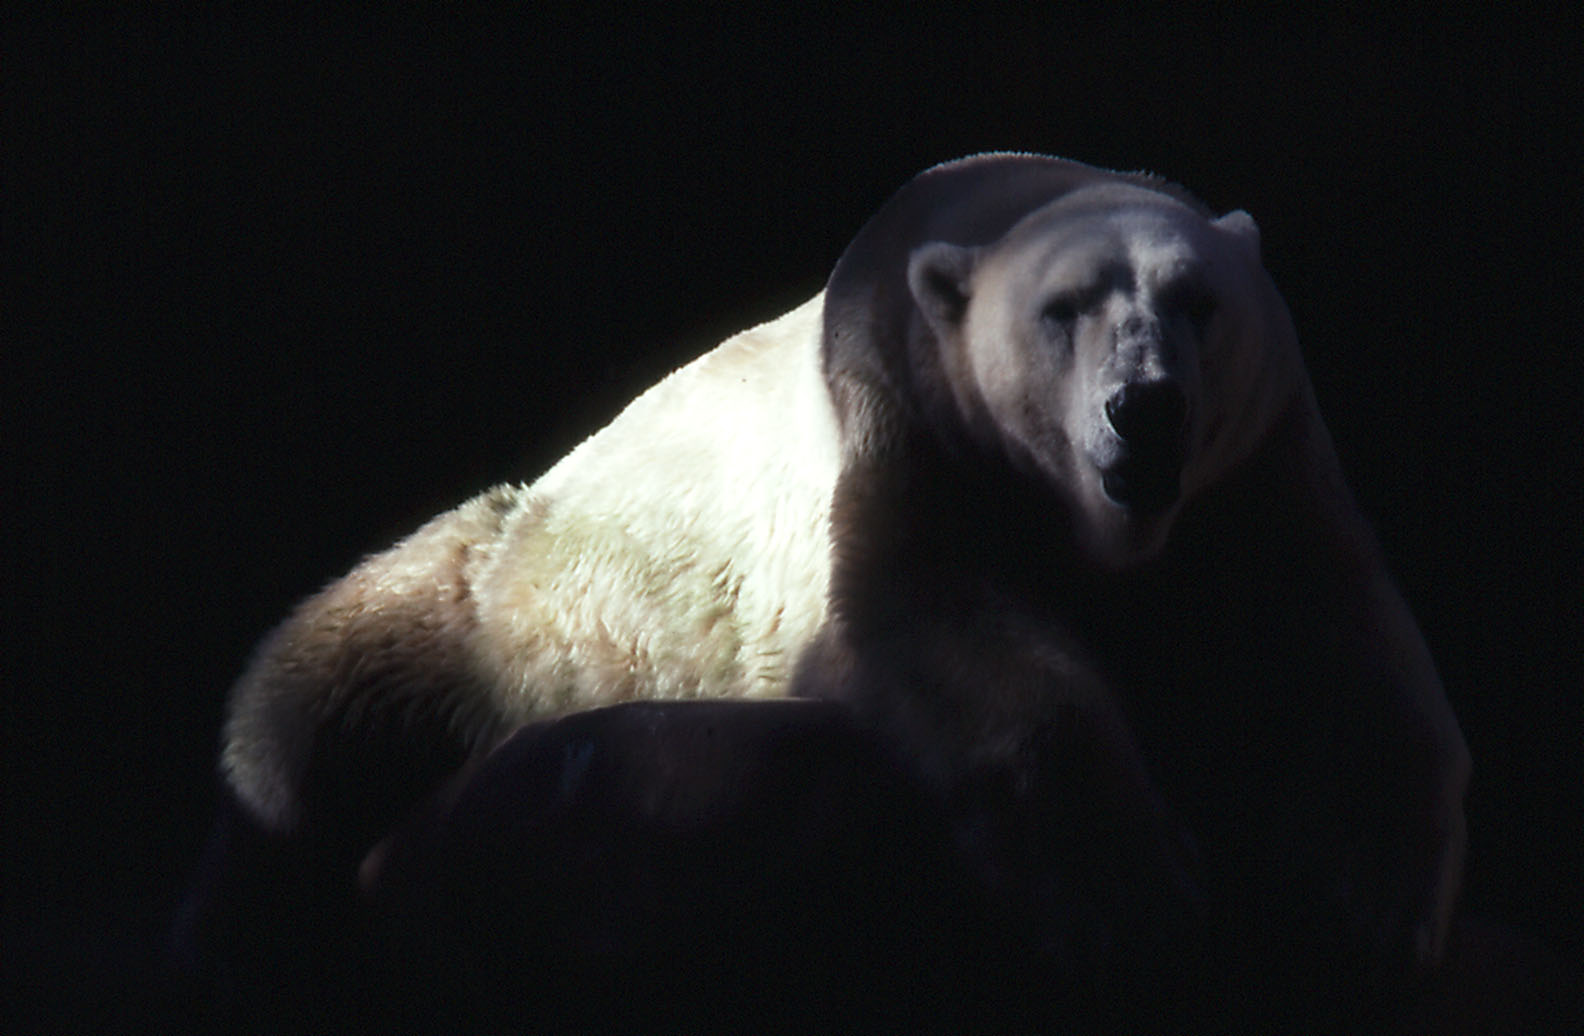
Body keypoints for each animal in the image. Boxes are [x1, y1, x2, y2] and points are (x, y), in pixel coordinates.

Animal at [199, 154, 1467, 1015]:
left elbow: (1339, 636)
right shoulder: (901, 428)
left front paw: (1369, 900)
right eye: (1063, 311)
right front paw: (1135, 896)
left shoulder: (1258, 468)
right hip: (490, 591)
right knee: (324, 681)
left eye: (1200, 302)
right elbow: (943, 637)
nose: (1144, 407)